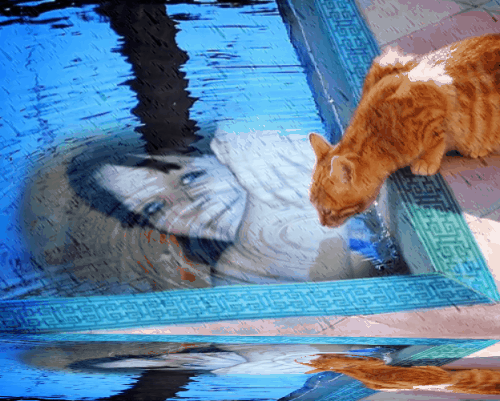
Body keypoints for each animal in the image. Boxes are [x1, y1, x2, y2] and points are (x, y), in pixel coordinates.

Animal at [309, 33, 500, 227]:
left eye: (327, 211)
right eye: (314, 206)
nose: (322, 223)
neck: (382, 133)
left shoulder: (436, 106)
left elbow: (437, 140)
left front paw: (427, 160)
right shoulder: (387, 63)